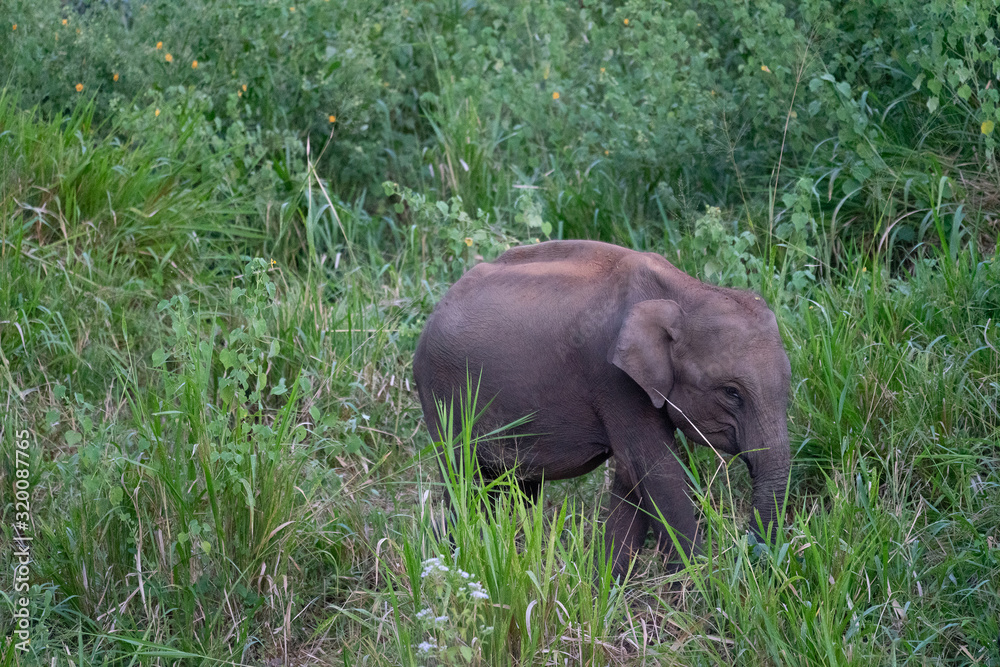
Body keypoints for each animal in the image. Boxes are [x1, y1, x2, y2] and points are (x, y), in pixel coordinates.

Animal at [412, 241, 788, 580]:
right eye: (732, 393)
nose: (750, 555)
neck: (684, 292)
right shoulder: (614, 380)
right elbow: (654, 469)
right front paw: (700, 584)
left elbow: (631, 476)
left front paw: (604, 586)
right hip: (443, 398)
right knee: (466, 482)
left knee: (514, 487)